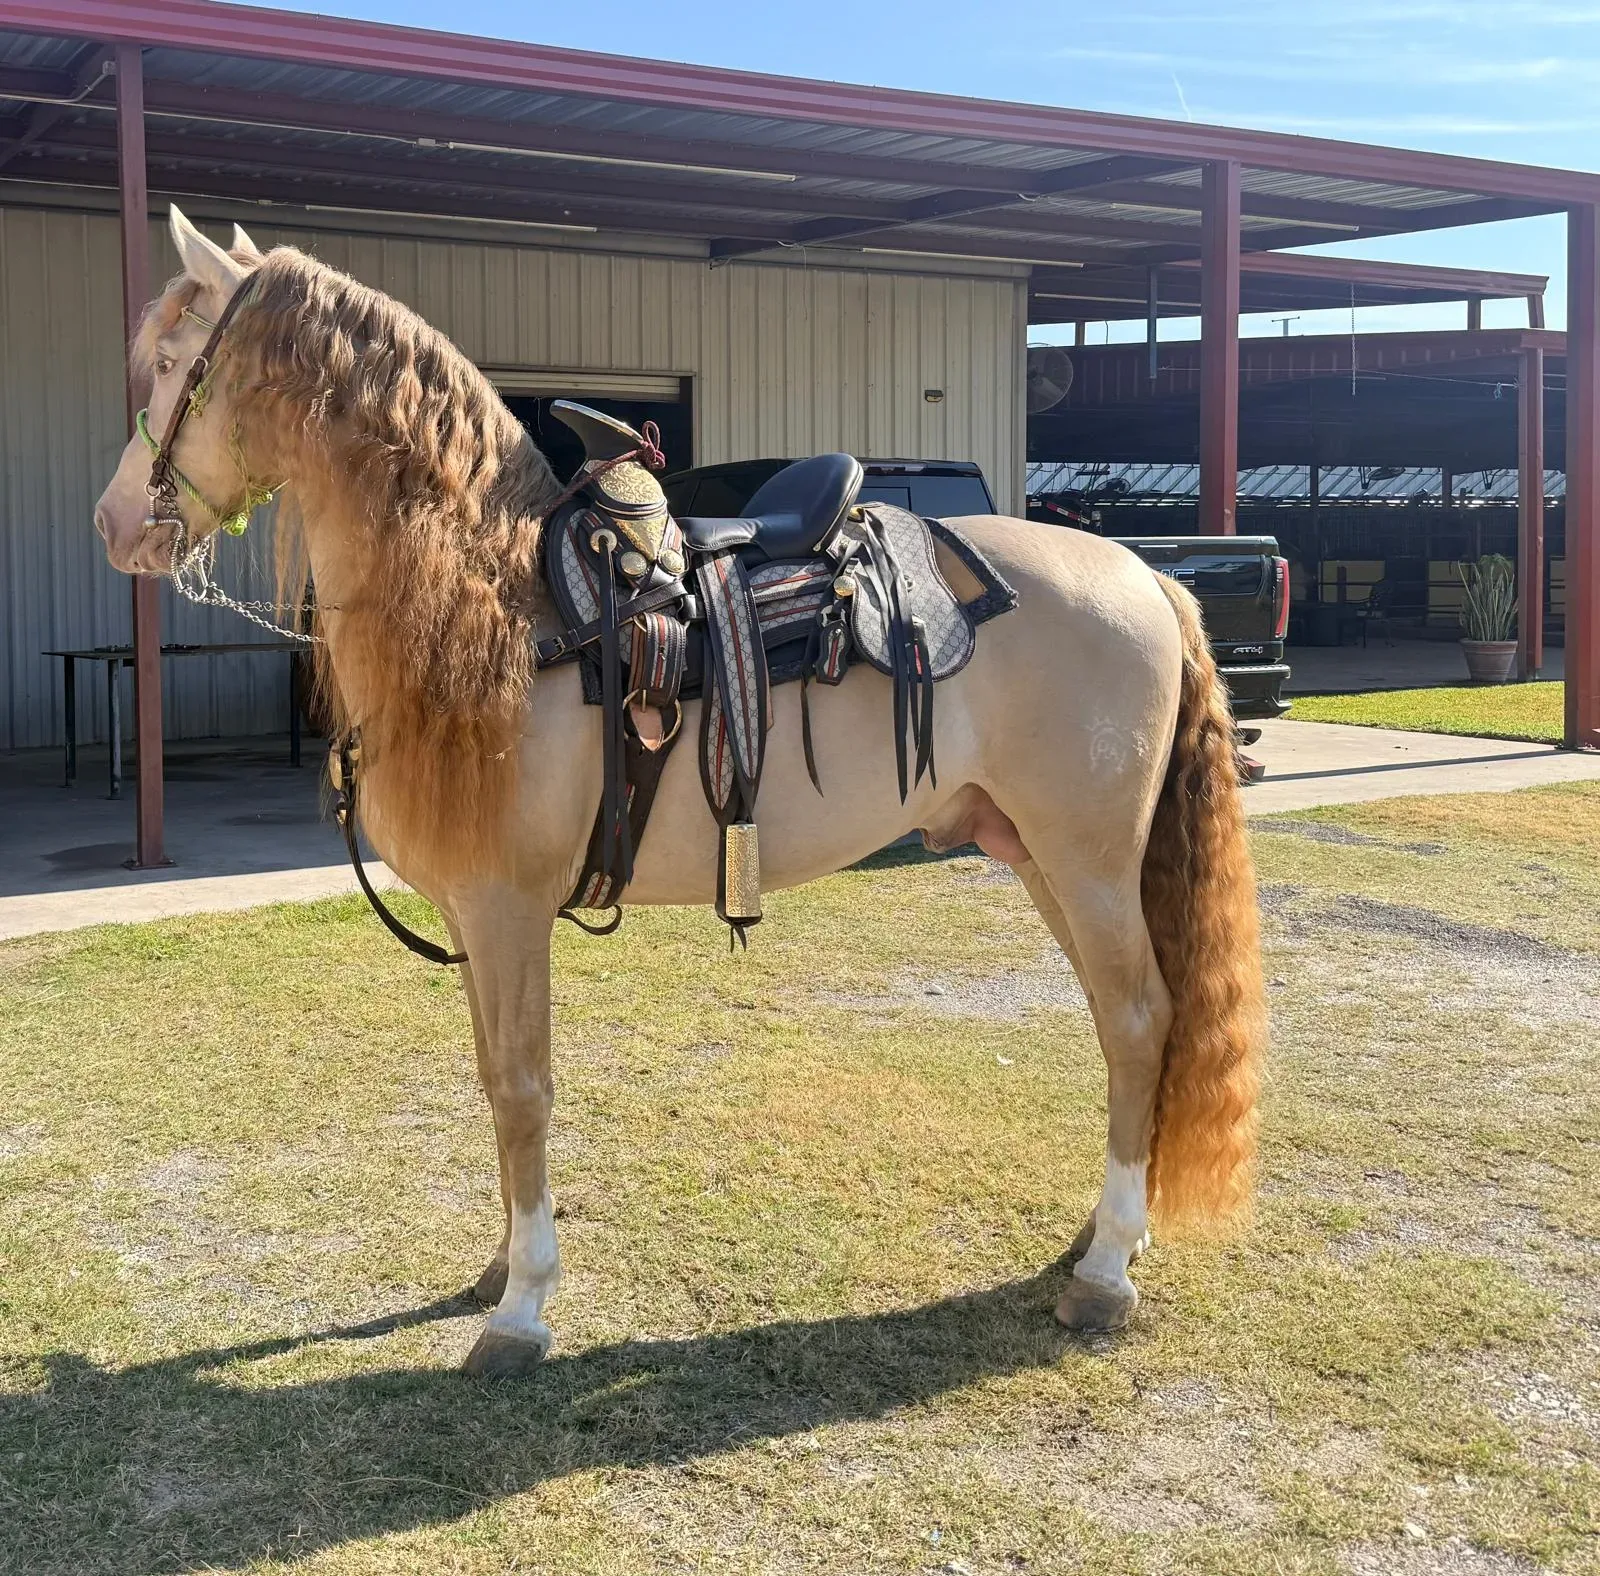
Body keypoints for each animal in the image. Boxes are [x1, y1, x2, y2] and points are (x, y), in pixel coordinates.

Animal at [93, 205, 1266, 1378]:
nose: (115, 523)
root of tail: (1145, 576)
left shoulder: (509, 910)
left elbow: (523, 1087)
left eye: (175, 364)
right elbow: (489, 1077)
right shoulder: (474, 918)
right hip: (1038, 856)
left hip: (1088, 859)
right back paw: (1103, 1235)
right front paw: (497, 1267)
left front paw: (522, 1306)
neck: (496, 604)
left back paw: (1105, 1272)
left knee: (1137, 1018)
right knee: (1125, 1026)